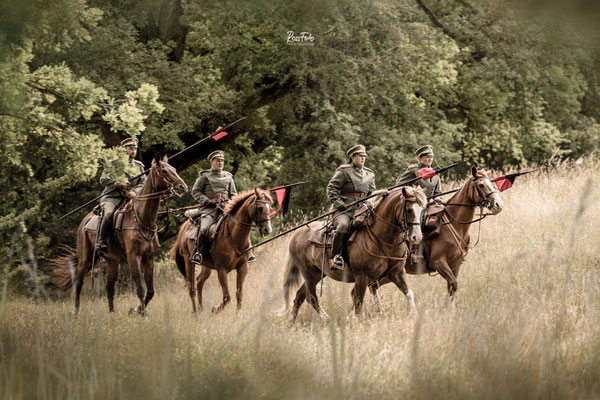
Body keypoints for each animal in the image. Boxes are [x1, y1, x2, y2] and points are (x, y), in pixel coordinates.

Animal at [51, 155, 188, 314]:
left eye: (175, 169)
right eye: (164, 171)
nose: (182, 187)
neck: (141, 219)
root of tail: (85, 221)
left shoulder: (149, 259)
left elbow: (150, 291)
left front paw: (136, 310)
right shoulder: (133, 258)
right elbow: (140, 289)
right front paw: (142, 313)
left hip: (112, 262)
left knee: (109, 287)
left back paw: (111, 313)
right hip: (85, 260)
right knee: (79, 284)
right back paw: (76, 311)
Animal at [280, 187, 426, 322]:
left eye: (422, 209)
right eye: (409, 210)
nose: (417, 237)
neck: (383, 239)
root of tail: (296, 233)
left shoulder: (397, 273)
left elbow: (409, 294)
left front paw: (416, 317)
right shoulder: (362, 277)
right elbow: (359, 302)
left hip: (316, 274)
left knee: (300, 296)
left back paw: (291, 322)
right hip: (308, 273)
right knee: (312, 298)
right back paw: (327, 320)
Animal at [370, 164, 502, 304]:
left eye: (491, 183)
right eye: (481, 185)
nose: (499, 205)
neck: (454, 224)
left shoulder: (455, 265)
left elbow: (452, 289)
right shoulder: (439, 262)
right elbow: (453, 284)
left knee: (373, 286)